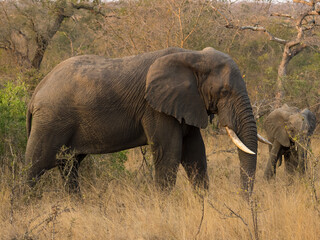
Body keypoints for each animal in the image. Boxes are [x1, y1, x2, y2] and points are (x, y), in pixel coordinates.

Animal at [26, 47, 258, 195]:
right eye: (225, 92)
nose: (243, 200)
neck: (194, 56)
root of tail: (36, 92)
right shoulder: (155, 109)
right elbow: (170, 153)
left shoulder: (188, 103)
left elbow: (195, 155)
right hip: (50, 120)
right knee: (35, 165)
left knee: (69, 166)